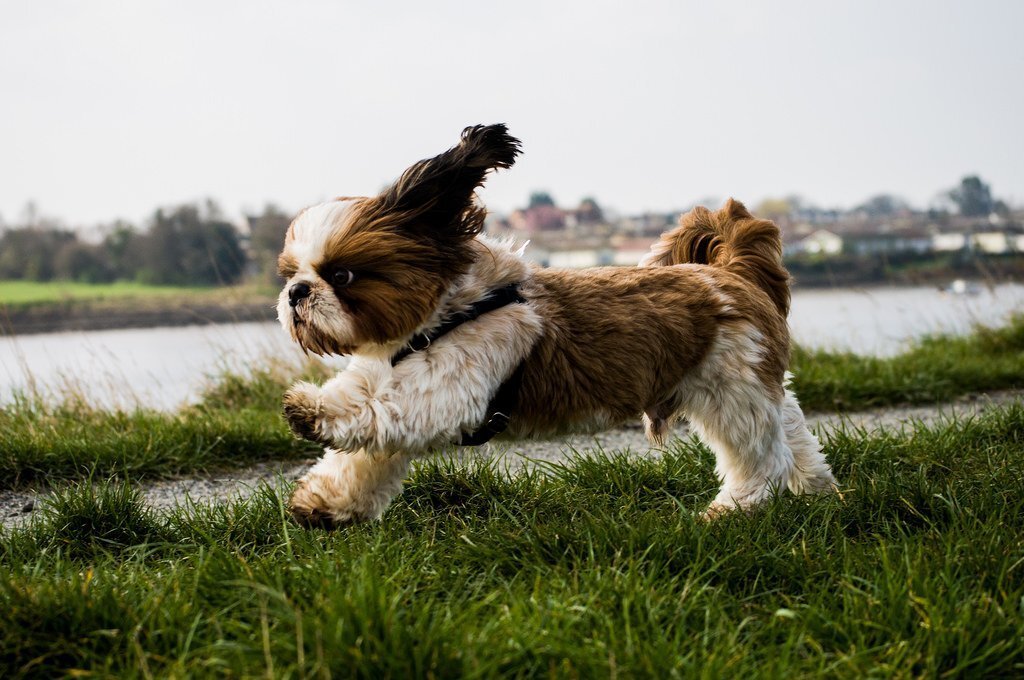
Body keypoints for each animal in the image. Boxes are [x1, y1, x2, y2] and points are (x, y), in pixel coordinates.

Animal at [276, 124, 835, 528]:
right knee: (791, 430)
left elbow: (380, 411)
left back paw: (732, 510)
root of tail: (728, 272)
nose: (296, 292)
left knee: (759, 458)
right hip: (756, 390)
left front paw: (310, 409)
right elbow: (364, 452)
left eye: (341, 275)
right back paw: (817, 488)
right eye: (290, 273)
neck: (446, 317)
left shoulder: (450, 390)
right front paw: (326, 502)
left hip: (732, 396)